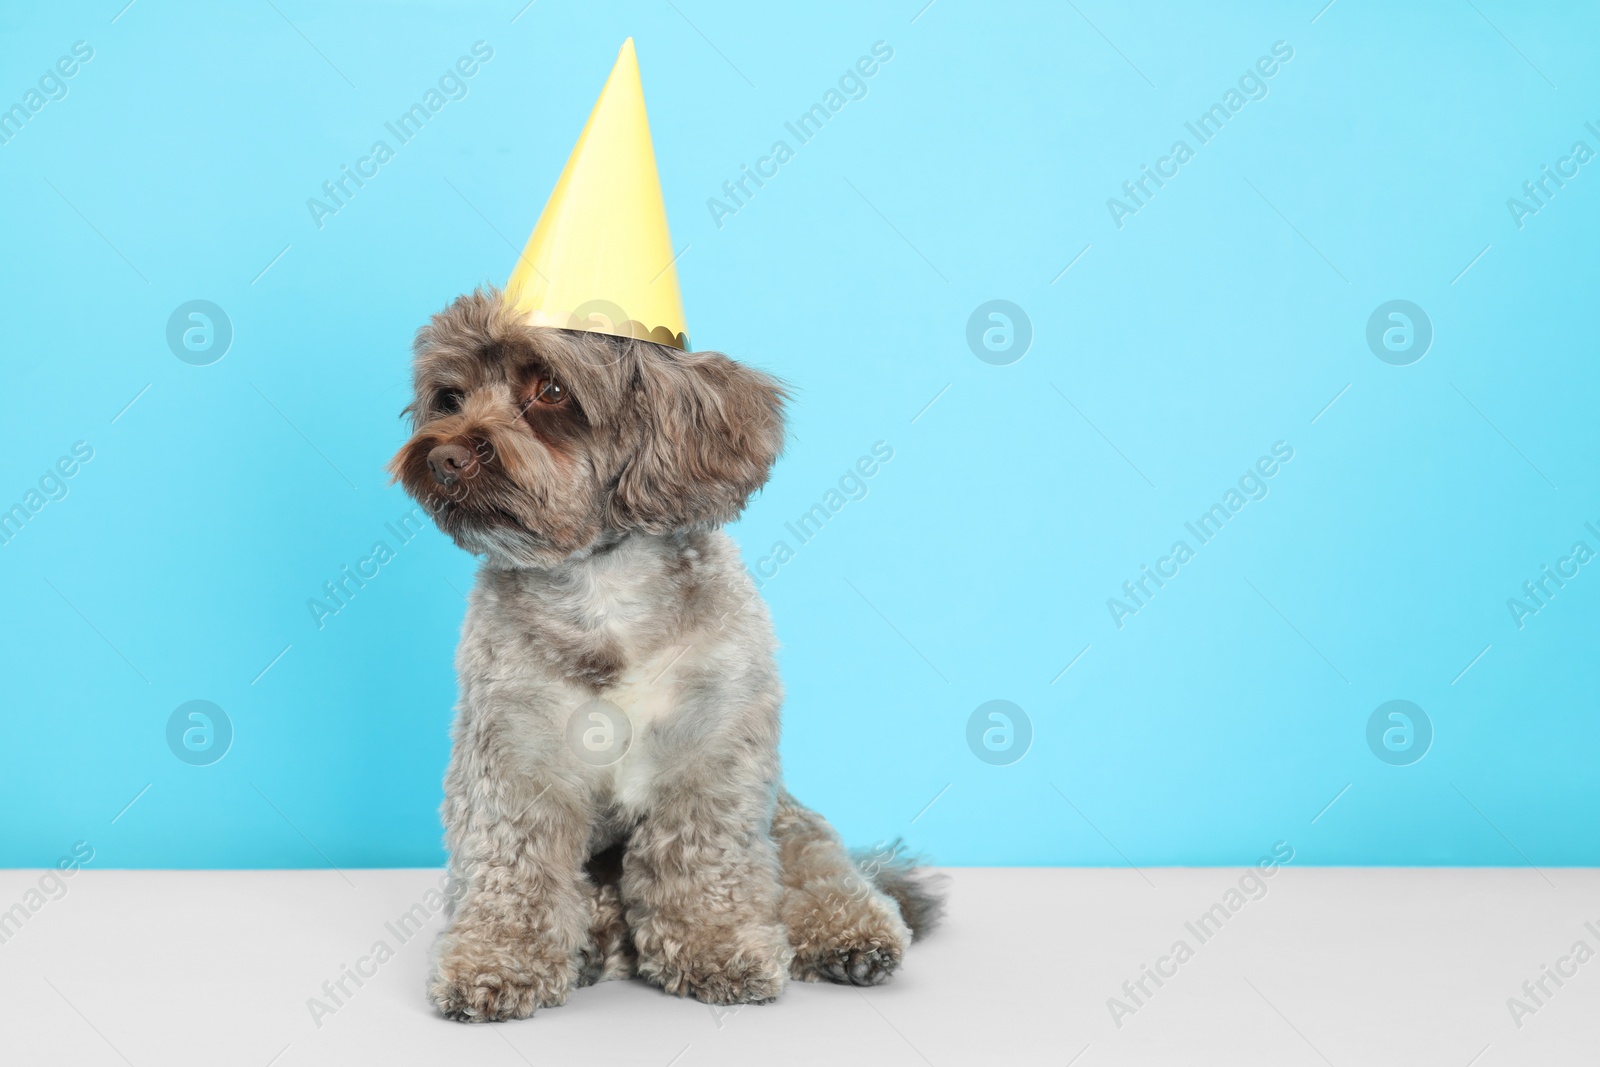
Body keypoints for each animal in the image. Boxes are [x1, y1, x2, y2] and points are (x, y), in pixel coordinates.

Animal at [387, 287, 940, 1023]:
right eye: (449, 396)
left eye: (550, 389)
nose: (444, 456)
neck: (602, 591)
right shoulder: (513, 761)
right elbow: (512, 870)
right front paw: (497, 961)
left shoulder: (711, 756)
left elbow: (704, 864)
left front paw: (717, 948)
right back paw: (595, 940)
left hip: (787, 818)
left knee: (818, 868)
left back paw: (849, 933)